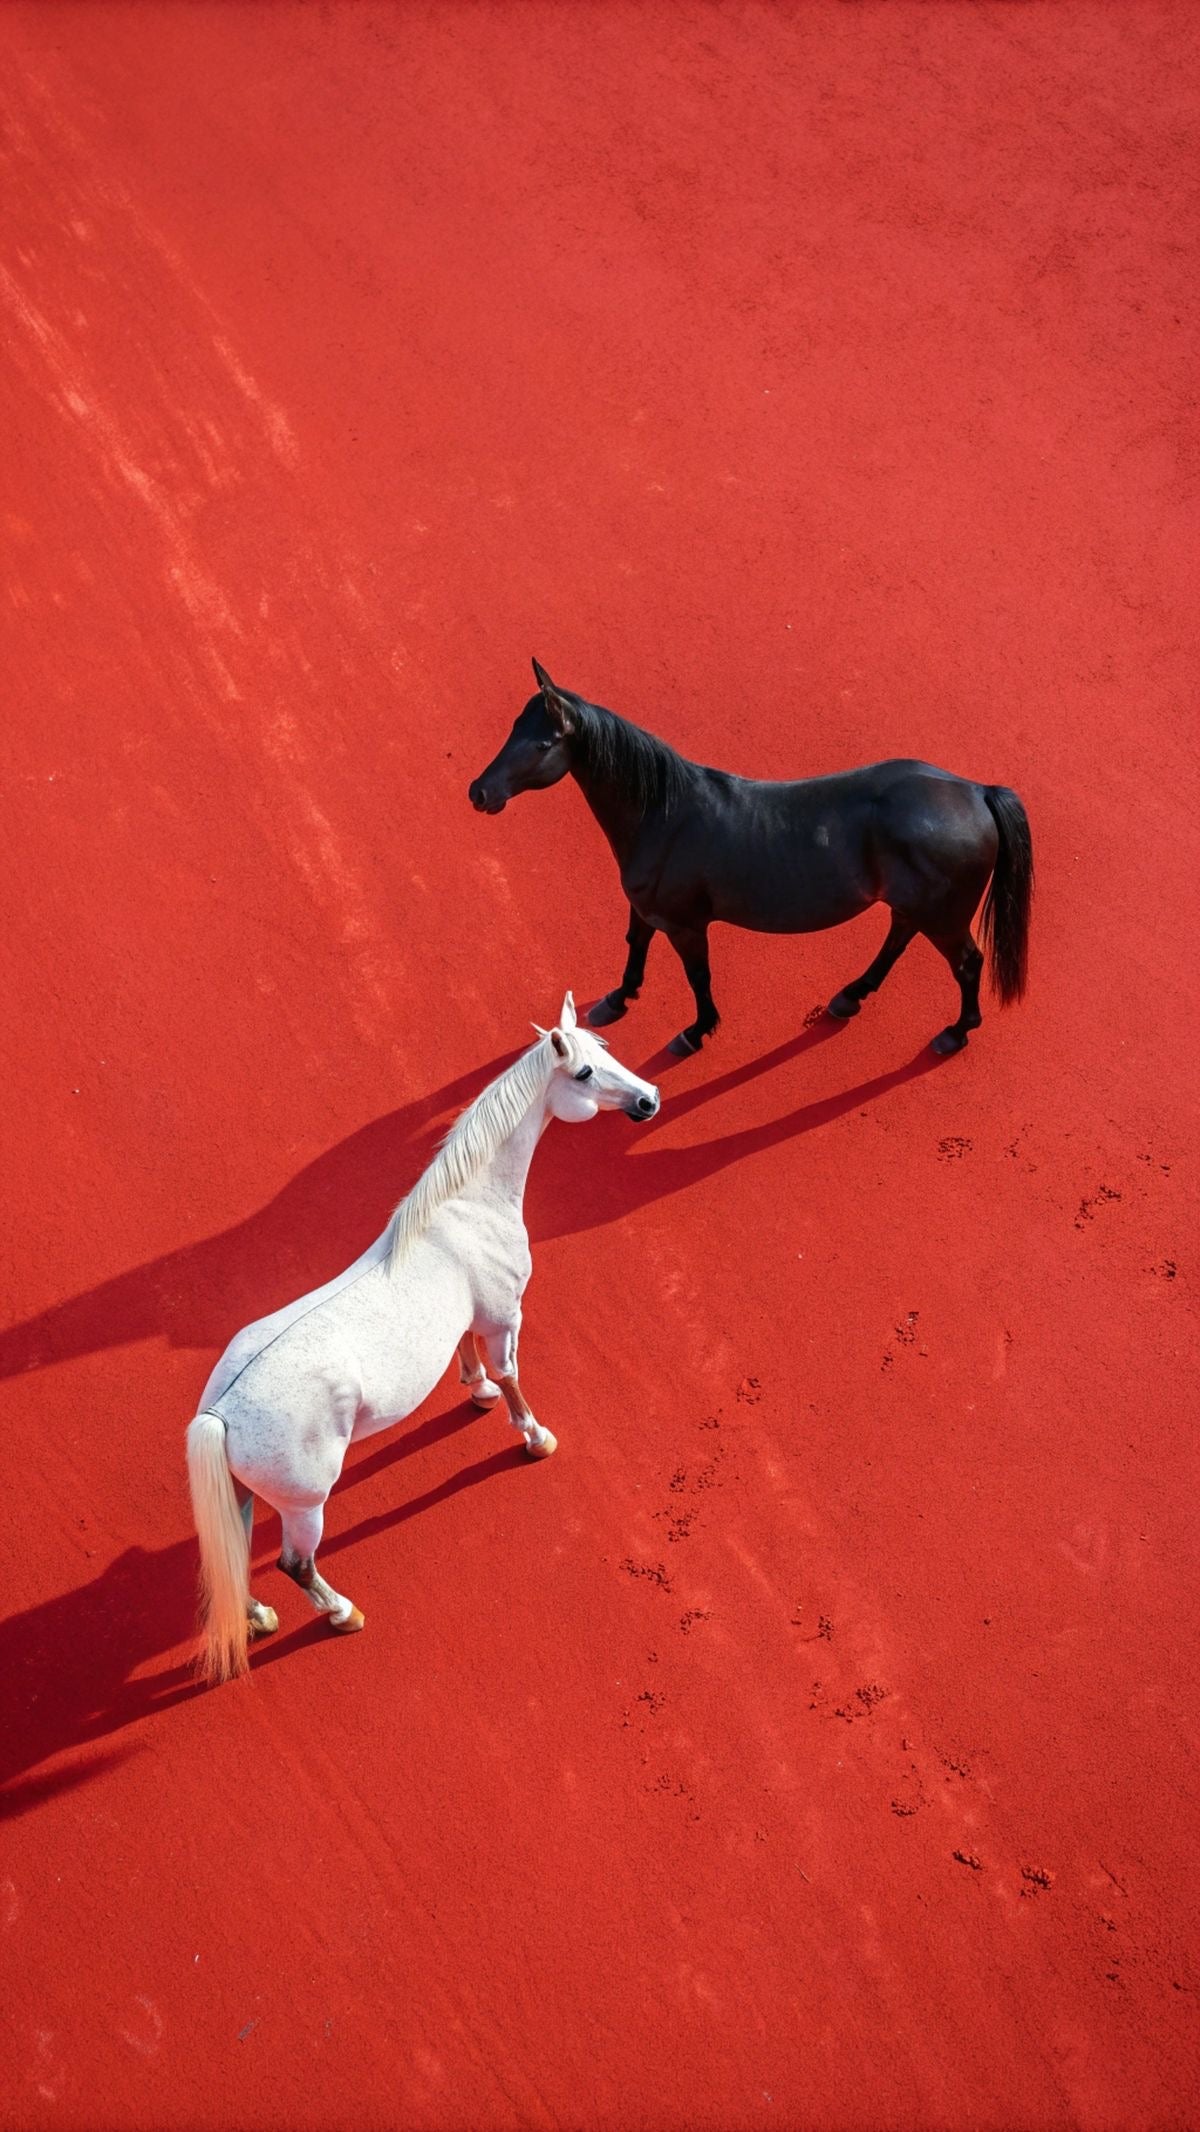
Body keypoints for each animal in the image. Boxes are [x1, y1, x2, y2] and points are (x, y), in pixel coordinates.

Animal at [186, 994, 659, 1683]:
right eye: (584, 1074)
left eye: (607, 1048)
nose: (649, 1099)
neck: (465, 1208)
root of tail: (219, 1412)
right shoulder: (505, 1315)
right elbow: (513, 1374)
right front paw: (534, 1436)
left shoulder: (470, 1317)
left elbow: (470, 1357)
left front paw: (477, 1391)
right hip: (306, 1507)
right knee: (295, 1564)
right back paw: (343, 1613)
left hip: (244, 1497)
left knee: (236, 1548)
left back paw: (259, 1616)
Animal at [470, 660, 1033, 1059]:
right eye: (514, 726)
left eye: (542, 743)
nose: (479, 792)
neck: (662, 814)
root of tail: (976, 791)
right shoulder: (646, 908)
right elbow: (635, 943)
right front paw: (619, 998)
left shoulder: (685, 925)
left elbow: (698, 976)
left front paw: (696, 1032)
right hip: (916, 906)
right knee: (898, 937)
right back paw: (851, 996)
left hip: (945, 917)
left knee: (967, 963)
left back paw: (955, 1033)